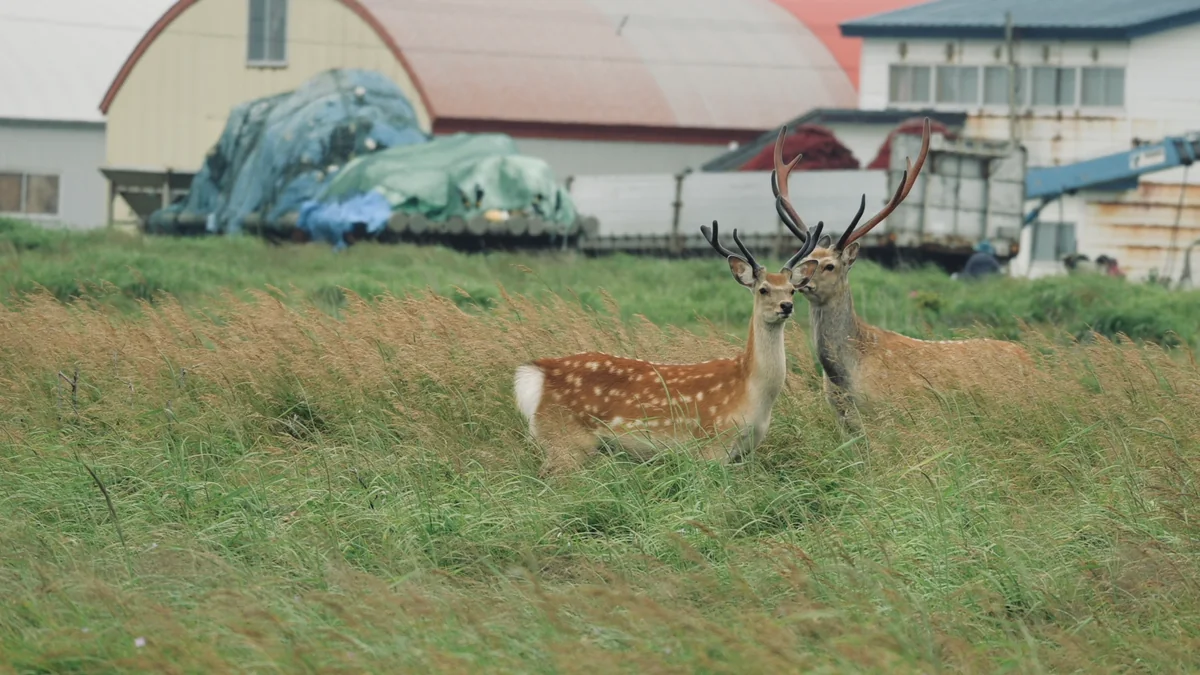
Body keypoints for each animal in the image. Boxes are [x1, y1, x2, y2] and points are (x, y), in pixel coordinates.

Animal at [513, 218, 825, 476]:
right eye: (763, 289)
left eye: (792, 289)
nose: (786, 306)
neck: (752, 391)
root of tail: (537, 374)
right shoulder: (713, 443)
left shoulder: (744, 452)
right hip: (565, 440)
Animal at [769, 117, 1034, 427]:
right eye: (807, 258)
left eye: (829, 265)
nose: (796, 279)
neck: (845, 377)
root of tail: (1031, 361)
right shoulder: (845, 421)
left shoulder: (895, 413)